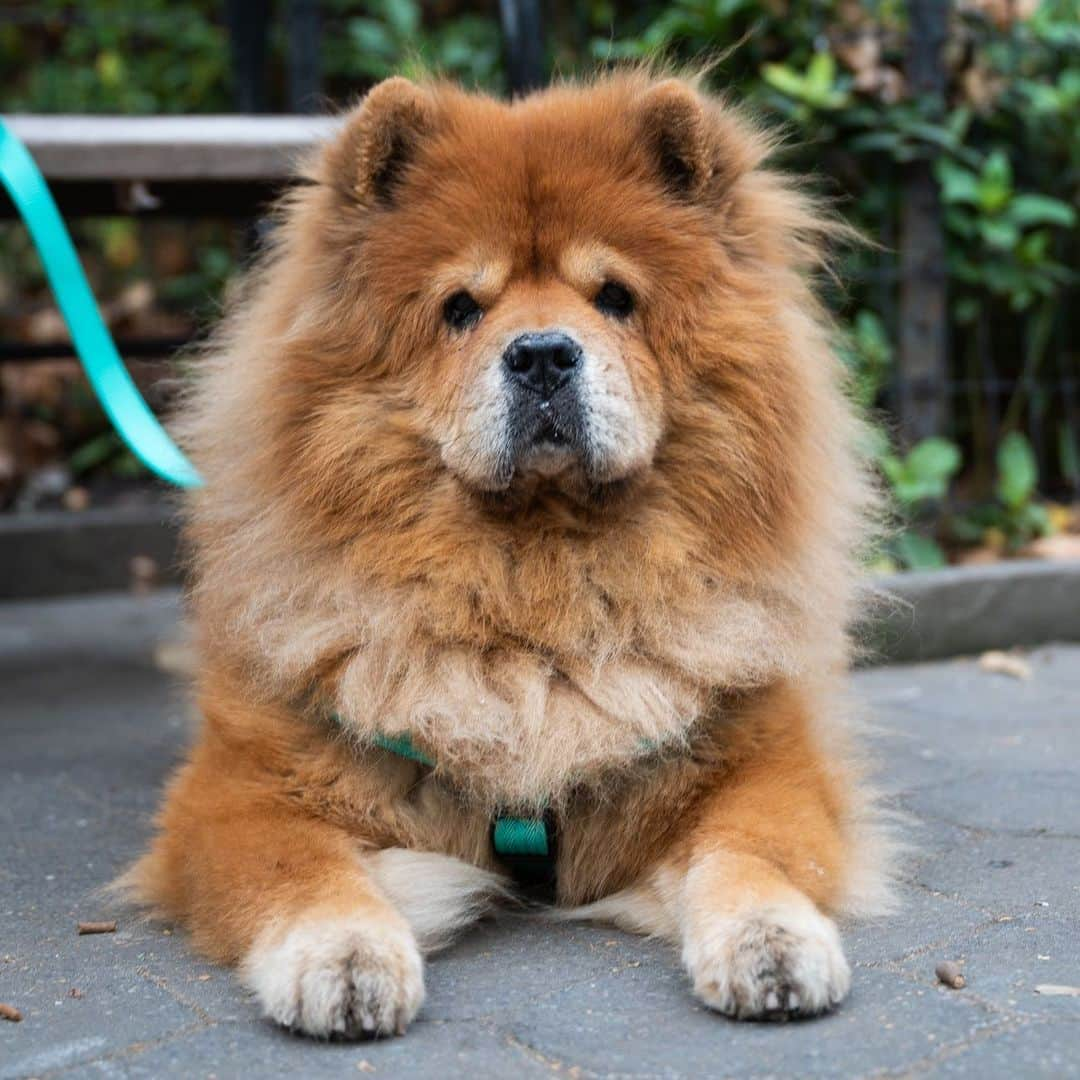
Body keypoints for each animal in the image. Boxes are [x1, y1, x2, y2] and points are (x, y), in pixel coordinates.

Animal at [128, 67, 894, 1036]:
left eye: (615, 298)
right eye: (461, 308)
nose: (540, 356)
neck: (536, 588)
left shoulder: (762, 761)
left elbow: (751, 852)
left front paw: (771, 945)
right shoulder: (242, 793)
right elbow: (303, 874)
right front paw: (343, 956)